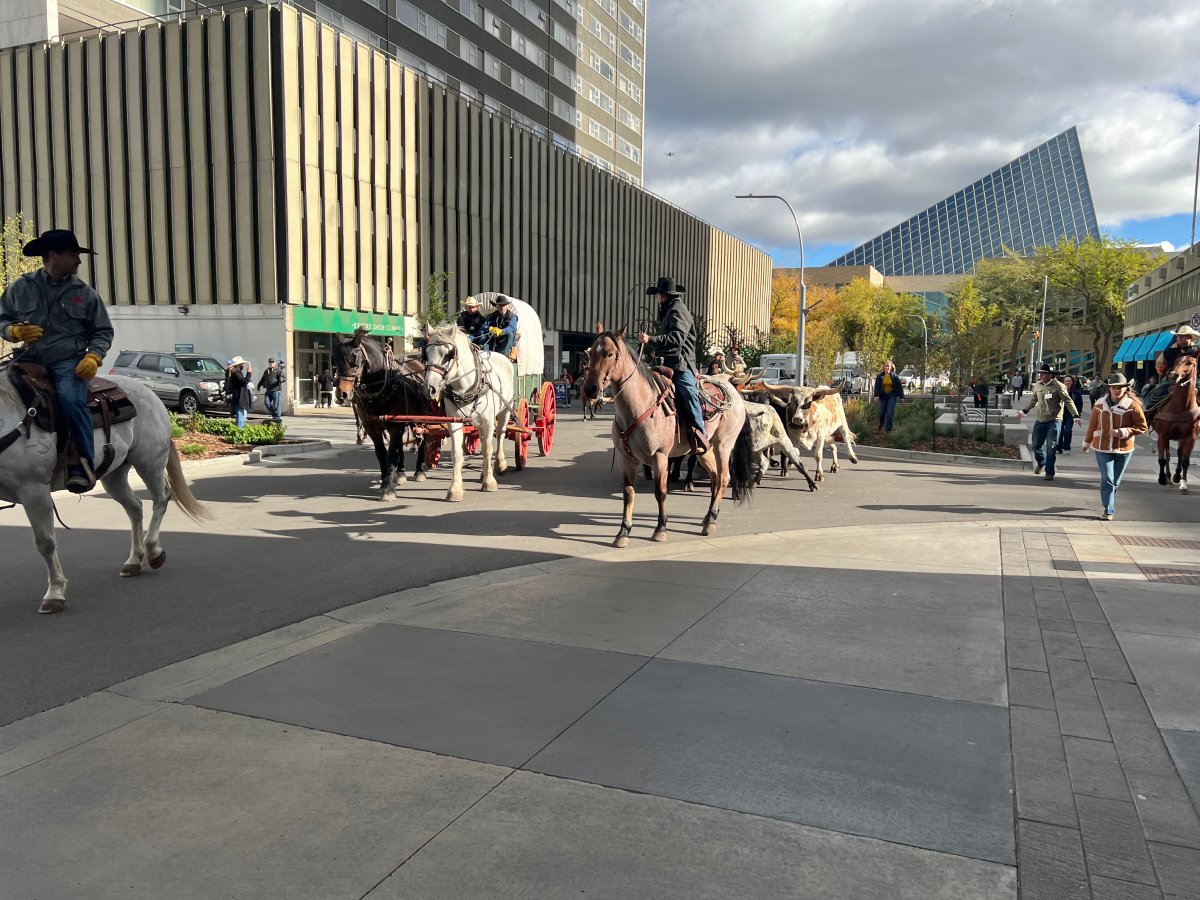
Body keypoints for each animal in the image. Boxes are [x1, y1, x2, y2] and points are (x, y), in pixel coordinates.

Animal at [0, 369, 206, 619]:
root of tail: (150, 393)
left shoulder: (34, 491)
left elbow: (45, 543)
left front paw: (55, 593)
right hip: (114, 475)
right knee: (135, 507)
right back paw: (134, 560)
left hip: (149, 462)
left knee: (161, 499)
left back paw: (153, 550)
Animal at [331, 328, 434, 504]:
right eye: (335, 360)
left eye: (354, 360)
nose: (342, 395)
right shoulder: (371, 427)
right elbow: (381, 453)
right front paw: (386, 479)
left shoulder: (395, 426)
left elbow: (391, 453)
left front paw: (388, 488)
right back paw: (400, 473)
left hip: (420, 418)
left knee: (422, 439)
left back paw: (419, 470)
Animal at [424, 321, 513, 501]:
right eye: (427, 354)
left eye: (448, 354)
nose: (429, 388)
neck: (465, 387)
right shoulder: (454, 422)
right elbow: (457, 453)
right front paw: (455, 489)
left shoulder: (488, 421)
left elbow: (487, 449)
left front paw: (489, 481)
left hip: (506, 410)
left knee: (500, 434)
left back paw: (499, 464)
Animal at [578, 326, 753, 547]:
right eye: (590, 353)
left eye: (609, 354)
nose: (589, 389)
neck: (639, 405)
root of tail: (735, 393)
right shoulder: (625, 458)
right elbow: (628, 493)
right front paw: (623, 532)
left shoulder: (659, 456)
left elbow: (660, 492)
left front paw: (661, 528)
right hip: (704, 449)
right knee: (714, 477)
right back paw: (707, 517)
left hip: (724, 446)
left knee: (723, 478)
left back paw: (711, 520)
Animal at [1147, 355, 1195, 496]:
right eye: (1176, 361)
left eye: (1190, 363)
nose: (1174, 375)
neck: (1182, 406)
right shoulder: (1163, 435)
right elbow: (1162, 459)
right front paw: (1162, 478)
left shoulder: (1190, 437)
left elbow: (1185, 461)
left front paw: (1183, 485)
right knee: (1167, 456)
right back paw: (1167, 478)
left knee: (1178, 454)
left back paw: (1175, 476)